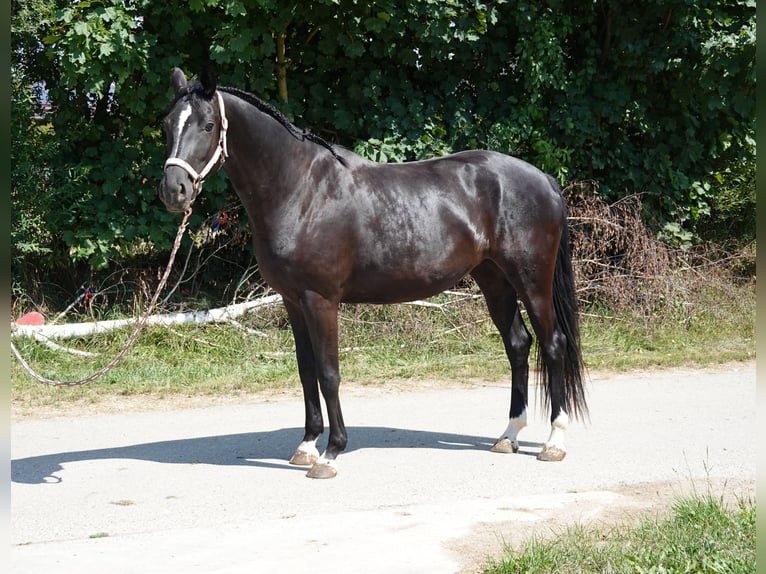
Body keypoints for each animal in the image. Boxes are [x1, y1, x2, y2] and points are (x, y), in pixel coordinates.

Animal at [159, 68, 587, 479]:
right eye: (166, 124)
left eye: (208, 124)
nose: (174, 191)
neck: (301, 190)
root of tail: (544, 179)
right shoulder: (293, 300)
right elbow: (305, 370)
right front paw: (306, 446)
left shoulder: (321, 300)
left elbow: (329, 373)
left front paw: (330, 455)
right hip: (493, 279)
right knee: (517, 344)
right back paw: (509, 435)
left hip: (531, 280)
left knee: (553, 344)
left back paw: (554, 441)